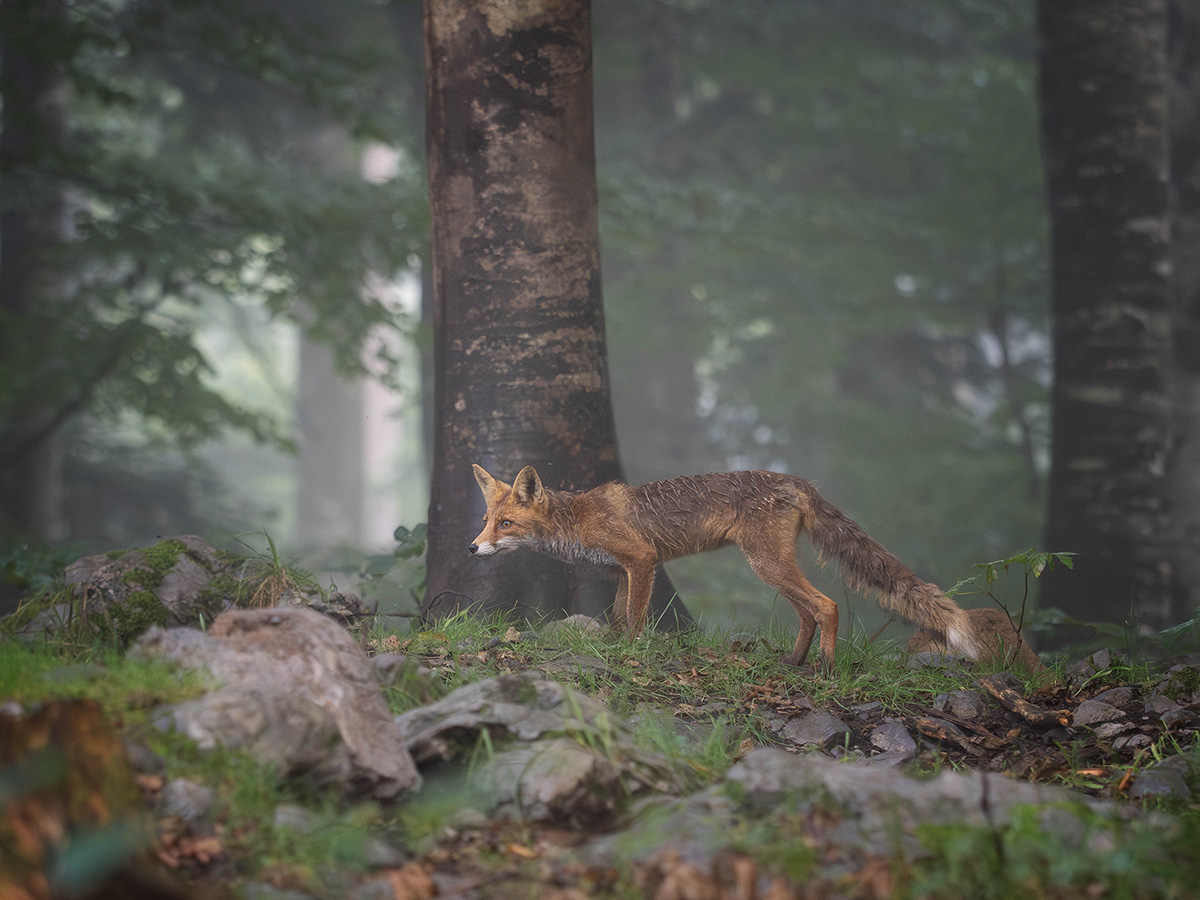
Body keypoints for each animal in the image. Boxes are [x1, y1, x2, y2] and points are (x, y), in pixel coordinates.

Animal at [468, 465, 1022, 672]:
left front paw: (629, 655)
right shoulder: (624, 572)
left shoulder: (643, 561)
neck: (577, 520)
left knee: (826, 604)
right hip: (768, 566)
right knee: (807, 613)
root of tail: (796, 480)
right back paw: (794, 662)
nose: (472, 549)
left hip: (766, 564)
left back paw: (825, 668)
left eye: (506, 523)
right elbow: (622, 616)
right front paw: (617, 646)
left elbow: (635, 622)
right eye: (487, 520)